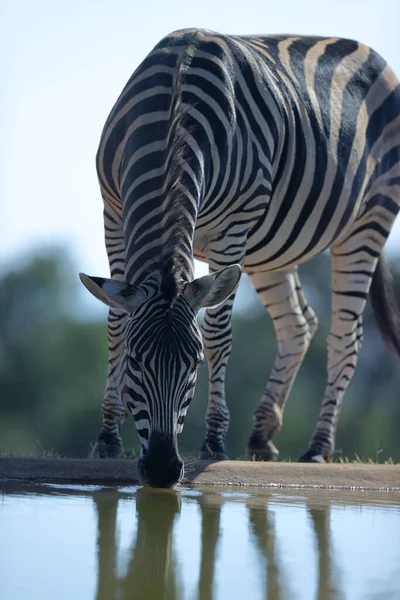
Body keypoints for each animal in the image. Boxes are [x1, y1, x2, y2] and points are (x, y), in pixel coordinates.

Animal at [79, 29, 400, 488]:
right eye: (135, 362)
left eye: (194, 364)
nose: (162, 470)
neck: (175, 115)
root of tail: (371, 54)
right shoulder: (113, 211)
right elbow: (115, 322)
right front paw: (107, 438)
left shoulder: (231, 231)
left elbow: (217, 334)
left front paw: (214, 442)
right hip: (272, 246)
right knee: (299, 323)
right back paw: (262, 436)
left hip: (368, 222)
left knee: (346, 337)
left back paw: (318, 448)